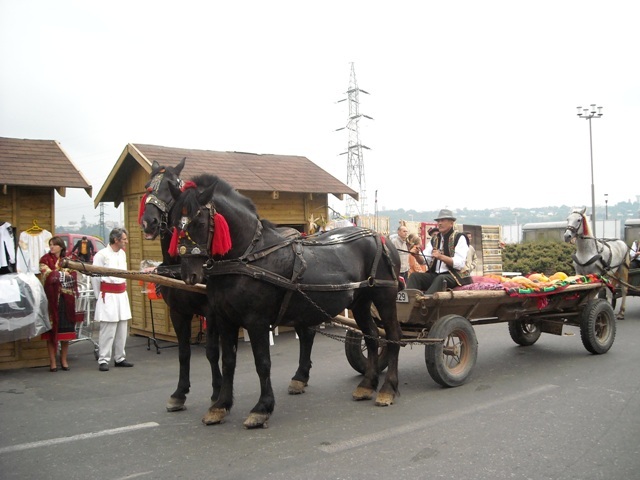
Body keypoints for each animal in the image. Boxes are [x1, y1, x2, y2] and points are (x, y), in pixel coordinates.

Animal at [139, 159, 221, 414]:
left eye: (170, 185)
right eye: (147, 186)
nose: (149, 221)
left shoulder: (211, 312)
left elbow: (212, 352)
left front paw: (216, 394)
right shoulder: (177, 312)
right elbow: (183, 353)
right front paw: (179, 393)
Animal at [168, 172, 402, 428]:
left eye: (199, 223)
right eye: (173, 223)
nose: (189, 275)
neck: (249, 257)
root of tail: (380, 237)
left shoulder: (256, 321)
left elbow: (262, 363)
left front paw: (262, 408)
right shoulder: (224, 319)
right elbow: (228, 361)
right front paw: (220, 406)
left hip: (385, 297)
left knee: (392, 337)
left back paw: (387, 389)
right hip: (359, 302)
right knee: (371, 336)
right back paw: (367, 385)